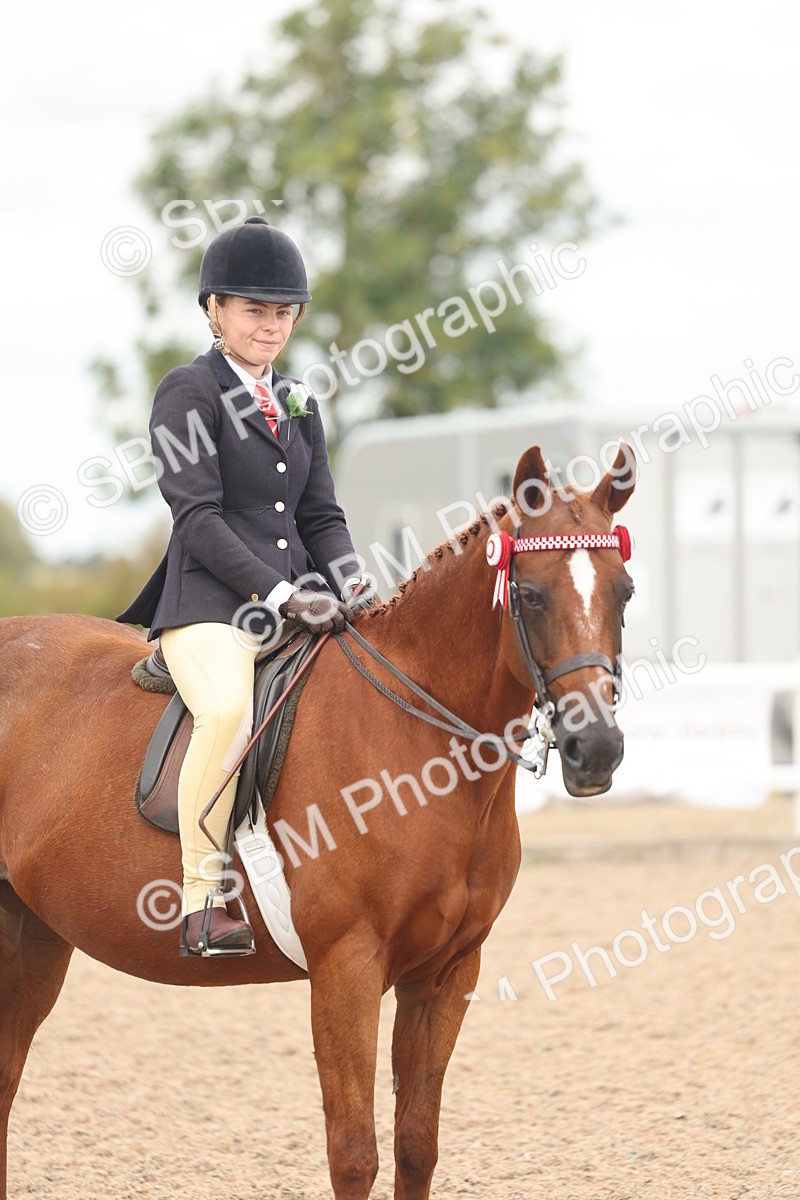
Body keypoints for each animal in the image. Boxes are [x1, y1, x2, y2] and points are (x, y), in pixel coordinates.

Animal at [0, 443, 635, 1199]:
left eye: (624, 592)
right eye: (531, 595)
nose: (596, 750)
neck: (417, 741)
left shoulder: (448, 973)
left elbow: (416, 1144)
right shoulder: (346, 968)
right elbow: (354, 1151)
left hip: (32, 938)